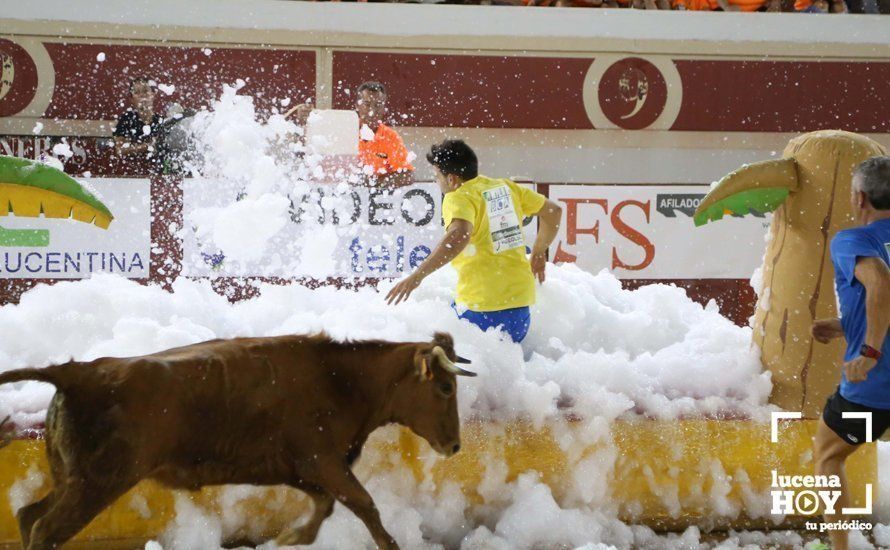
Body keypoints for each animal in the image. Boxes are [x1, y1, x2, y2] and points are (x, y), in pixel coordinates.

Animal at [0, 332, 476, 550]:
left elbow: (326, 505)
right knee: (46, 529)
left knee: (28, 515)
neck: (341, 380)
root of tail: (76, 373)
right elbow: (365, 506)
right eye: (445, 388)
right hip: (97, 483)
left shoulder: (300, 469)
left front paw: (289, 537)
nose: (454, 446)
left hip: (72, 479)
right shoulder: (324, 462)